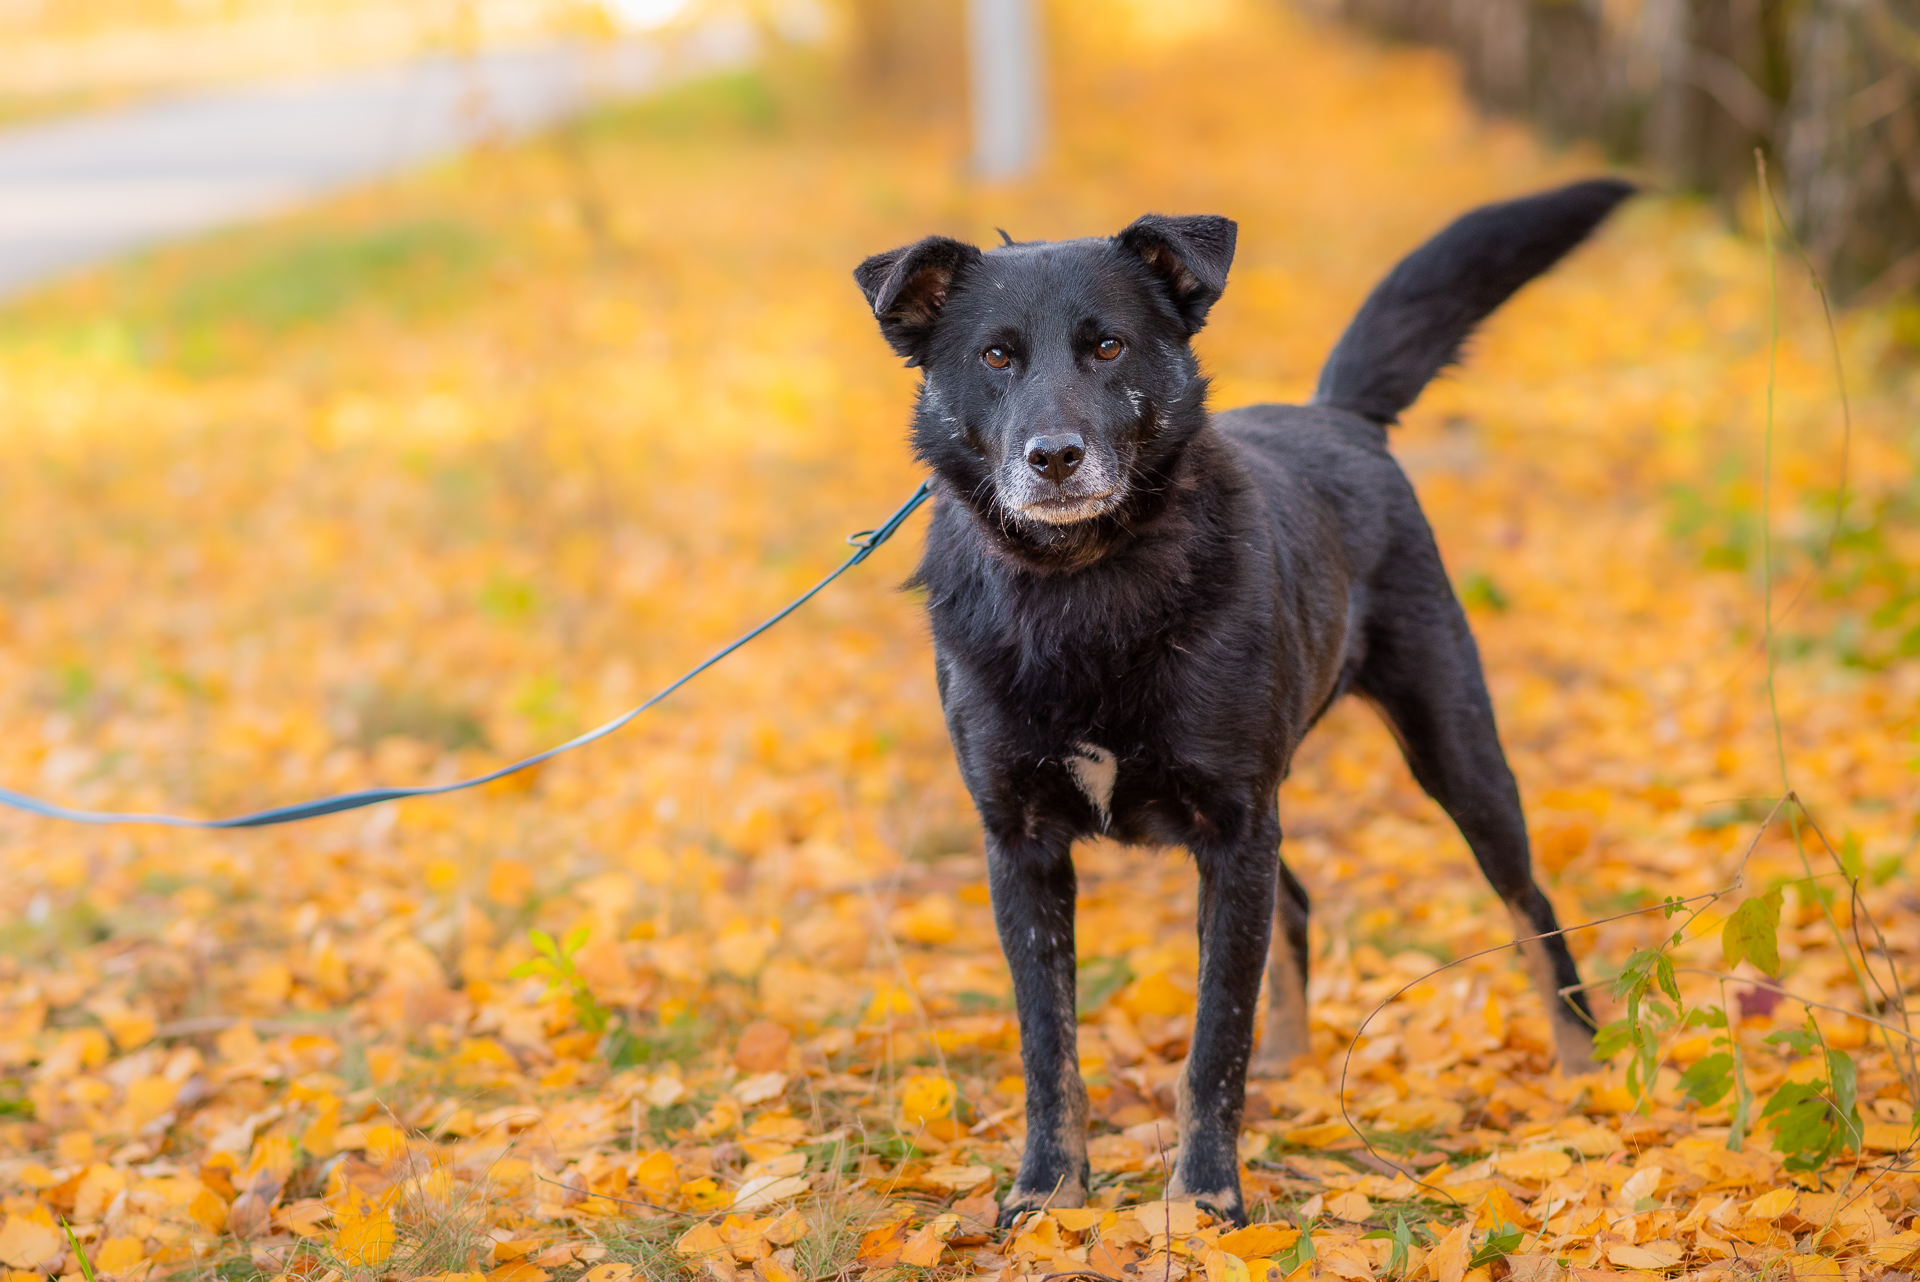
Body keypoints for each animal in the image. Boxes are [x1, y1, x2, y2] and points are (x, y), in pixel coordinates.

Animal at [860, 177, 1635, 1220]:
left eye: (1109, 345)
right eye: (994, 355)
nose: (1054, 457)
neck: (1082, 589)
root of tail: (1339, 415)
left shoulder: (1230, 832)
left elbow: (1212, 1039)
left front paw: (1203, 1201)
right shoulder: (1021, 845)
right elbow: (1047, 1043)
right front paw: (1050, 1191)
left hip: (1454, 751)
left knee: (1530, 902)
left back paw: (1582, 1069)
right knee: (1298, 901)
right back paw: (1291, 1060)